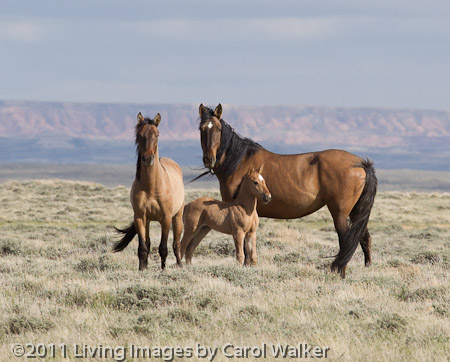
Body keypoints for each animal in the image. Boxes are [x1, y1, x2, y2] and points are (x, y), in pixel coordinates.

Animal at [113, 111, 184, 270]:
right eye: (140, 135)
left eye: (157, 134)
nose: (147, 158)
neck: (152, 187)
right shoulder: (140, 218)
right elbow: (143, 248)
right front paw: (142, 270)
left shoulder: (166, 218)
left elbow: (163, 248)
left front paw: (163, 270)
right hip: (148, 221)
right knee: (149, 242)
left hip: (177, 217)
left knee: (176, 243)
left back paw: (180, 265)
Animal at [196, 103, 376, 278]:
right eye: (201, 128)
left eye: (219, 129)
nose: (209, 159)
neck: (240, 162)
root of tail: (361, 163)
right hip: (355, 212)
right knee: (363, 238)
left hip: (340, 213)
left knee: (346, 241)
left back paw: (339, 274)